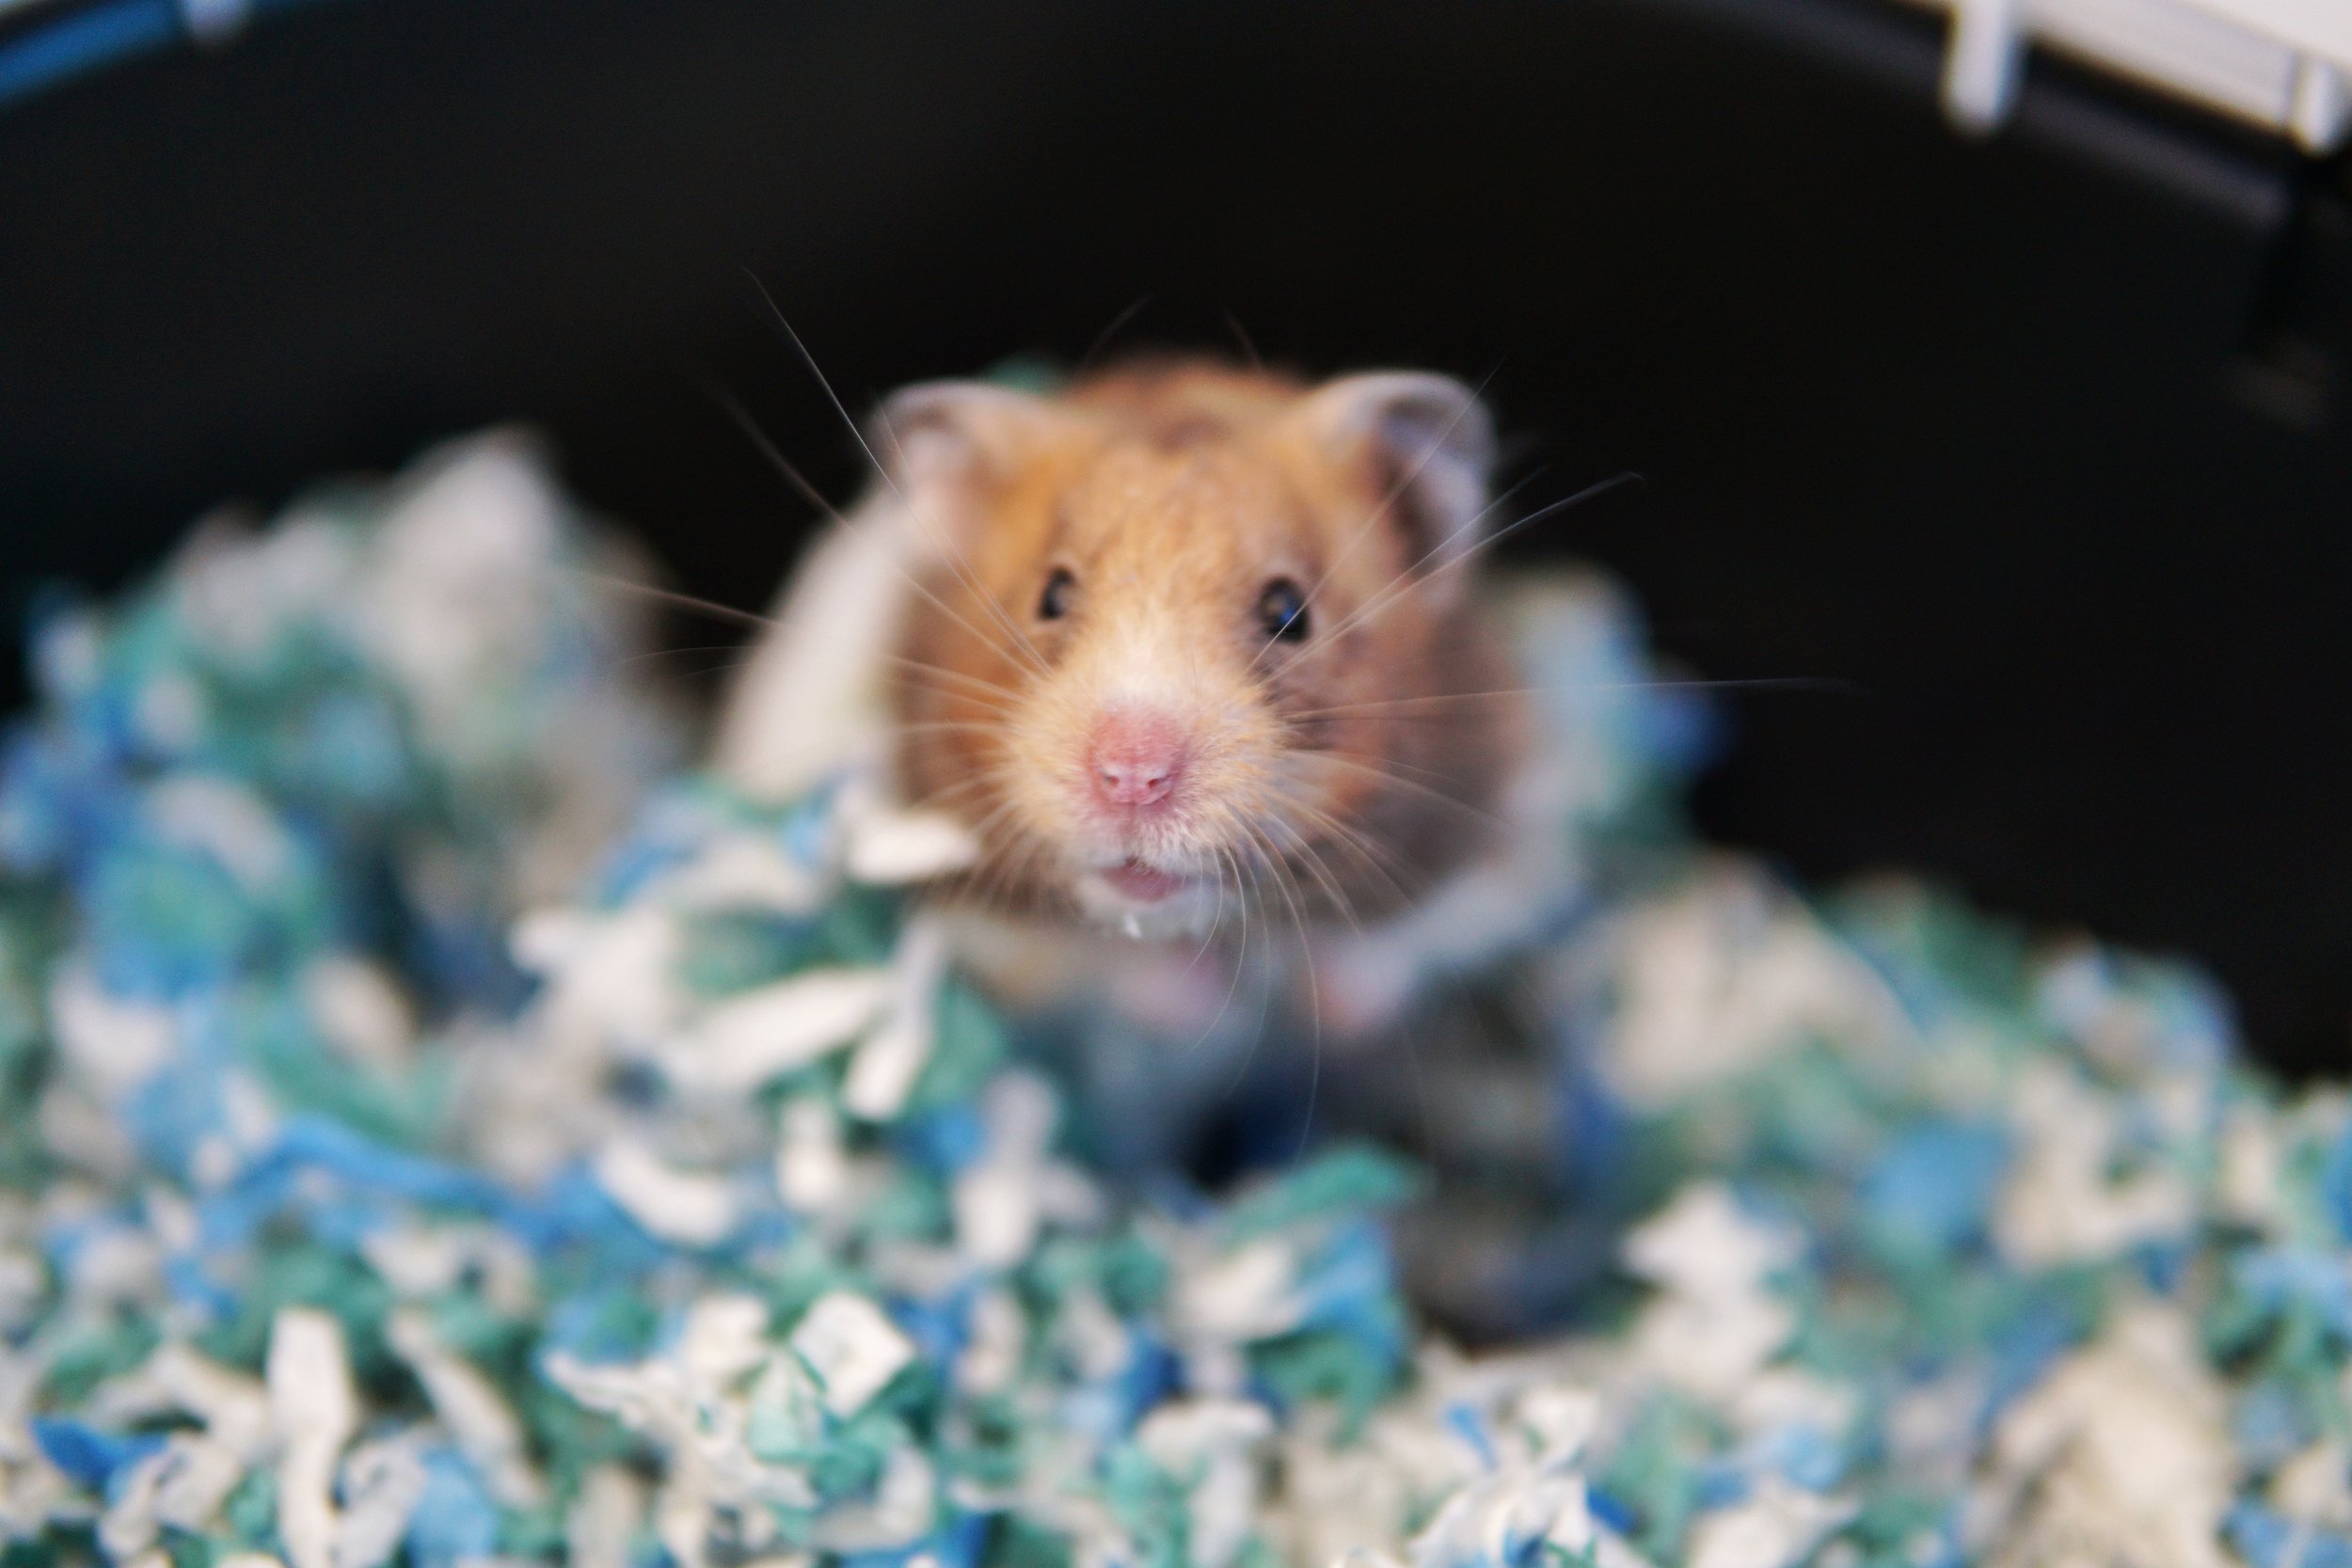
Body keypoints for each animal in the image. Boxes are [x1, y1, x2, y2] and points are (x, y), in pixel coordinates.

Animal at [715, 360, 1552, 1038]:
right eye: (1051, 594)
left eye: (1289, 612)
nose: (1133, 778)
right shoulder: (965, 897)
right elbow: (1097, 964)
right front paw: (1193, 1003)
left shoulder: (1498, 844)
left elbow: (1407, 940)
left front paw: (1330, 1008)